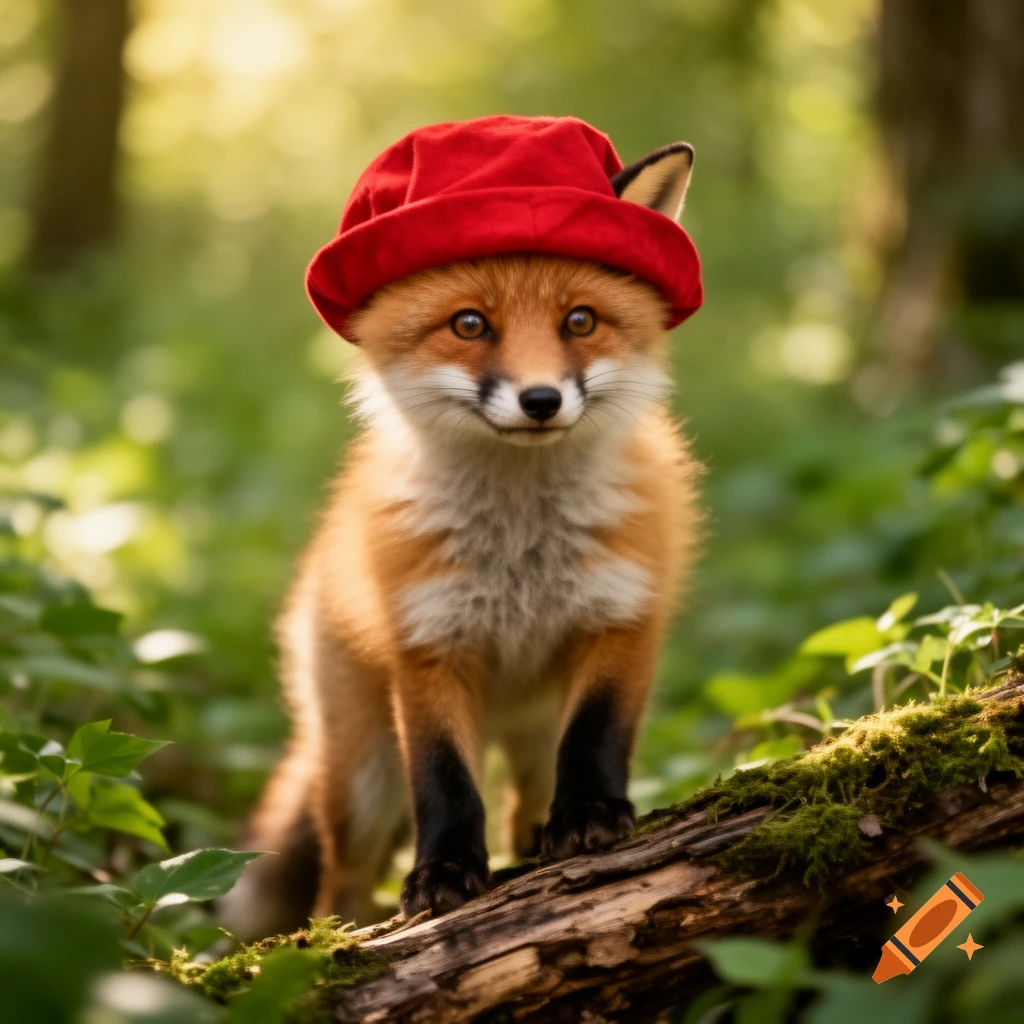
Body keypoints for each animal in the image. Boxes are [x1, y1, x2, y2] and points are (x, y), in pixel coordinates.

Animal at [222, 121, 704, 939]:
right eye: (470, 325)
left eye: (580, 320)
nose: (541, 400)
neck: (523, 555)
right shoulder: (429, 647)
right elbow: (444, 780)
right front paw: (444, 871)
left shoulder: (622, 619)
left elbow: (598, 737)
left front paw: (590, 815)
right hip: (362, 774)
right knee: (343, 875)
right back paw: (336, 939)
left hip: (530, 727)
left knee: (520, 806)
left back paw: (540, 833)